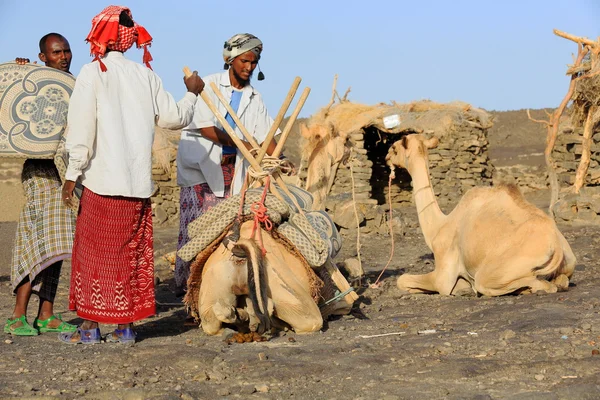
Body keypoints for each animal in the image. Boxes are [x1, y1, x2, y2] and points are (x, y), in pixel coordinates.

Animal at [384, 134, 576, 296]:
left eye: (394, 147)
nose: (386, 157)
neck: (440, 225)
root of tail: (556, 248)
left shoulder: (444, 273)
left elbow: (403, 279)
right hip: (568, 262)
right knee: (561, 280)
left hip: (497, 270)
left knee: (530, 284)